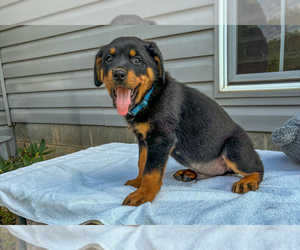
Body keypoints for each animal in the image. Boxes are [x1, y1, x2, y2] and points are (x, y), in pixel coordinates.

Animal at [93, 36, 262, 206]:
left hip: (234, 149)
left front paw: (143, 194)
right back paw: (188, 173)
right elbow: (142, 163)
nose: (118, 74)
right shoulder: (144, 140)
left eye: (137, 60)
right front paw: (138, 182)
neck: (150, 97)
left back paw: (248, 181)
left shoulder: (160, 139)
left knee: (259, 167)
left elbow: (151, 171)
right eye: (108, 59)